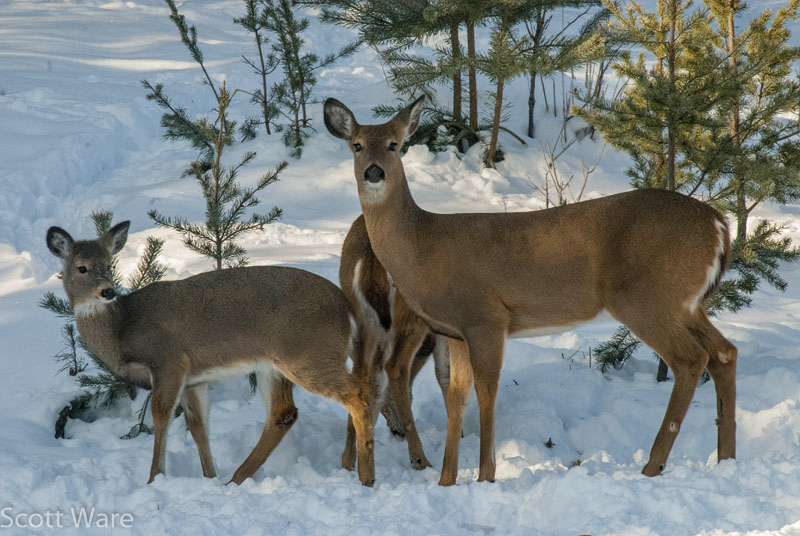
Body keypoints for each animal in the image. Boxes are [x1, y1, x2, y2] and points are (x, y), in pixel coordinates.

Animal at [46, 221, 383, 487]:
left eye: (108, 264)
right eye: (81, 268)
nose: (107, 291)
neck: (123, 329)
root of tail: (347, 310)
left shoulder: (169, 361)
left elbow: (161, 418)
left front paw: (154, 479)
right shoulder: (194, 379)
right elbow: (198, 427)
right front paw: (208, 477)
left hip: (307, 354)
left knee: (360, 394)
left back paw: (366, 476)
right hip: (273, 365)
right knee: (284, 413)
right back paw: (235, 479)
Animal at [339, 214, 450, 471]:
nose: (395, 430)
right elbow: (445, 373)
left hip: (362, 323)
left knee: (364, 376)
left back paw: (348, 461)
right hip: (410, 317)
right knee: (395, 369)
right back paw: (419, 458)